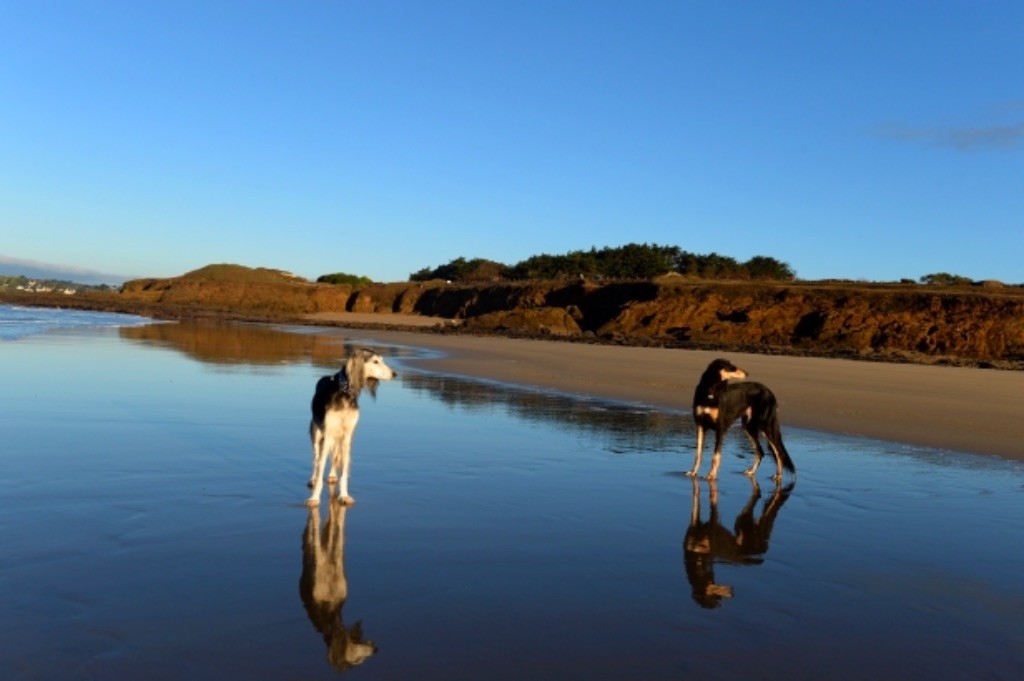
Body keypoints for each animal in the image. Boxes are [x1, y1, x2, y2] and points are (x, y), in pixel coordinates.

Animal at [303, 350, 395, 503]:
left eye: (381, 360)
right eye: (375, 361)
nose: (395, 374)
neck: (344, 393)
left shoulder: (347, 437)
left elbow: (344, 470)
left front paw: (344, 495)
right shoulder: (327, 435)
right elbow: (321, 465)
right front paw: (315, 497)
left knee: (335, 457)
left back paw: (332, 475)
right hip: (317, 435)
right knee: (316, 460)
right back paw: (313, 479)